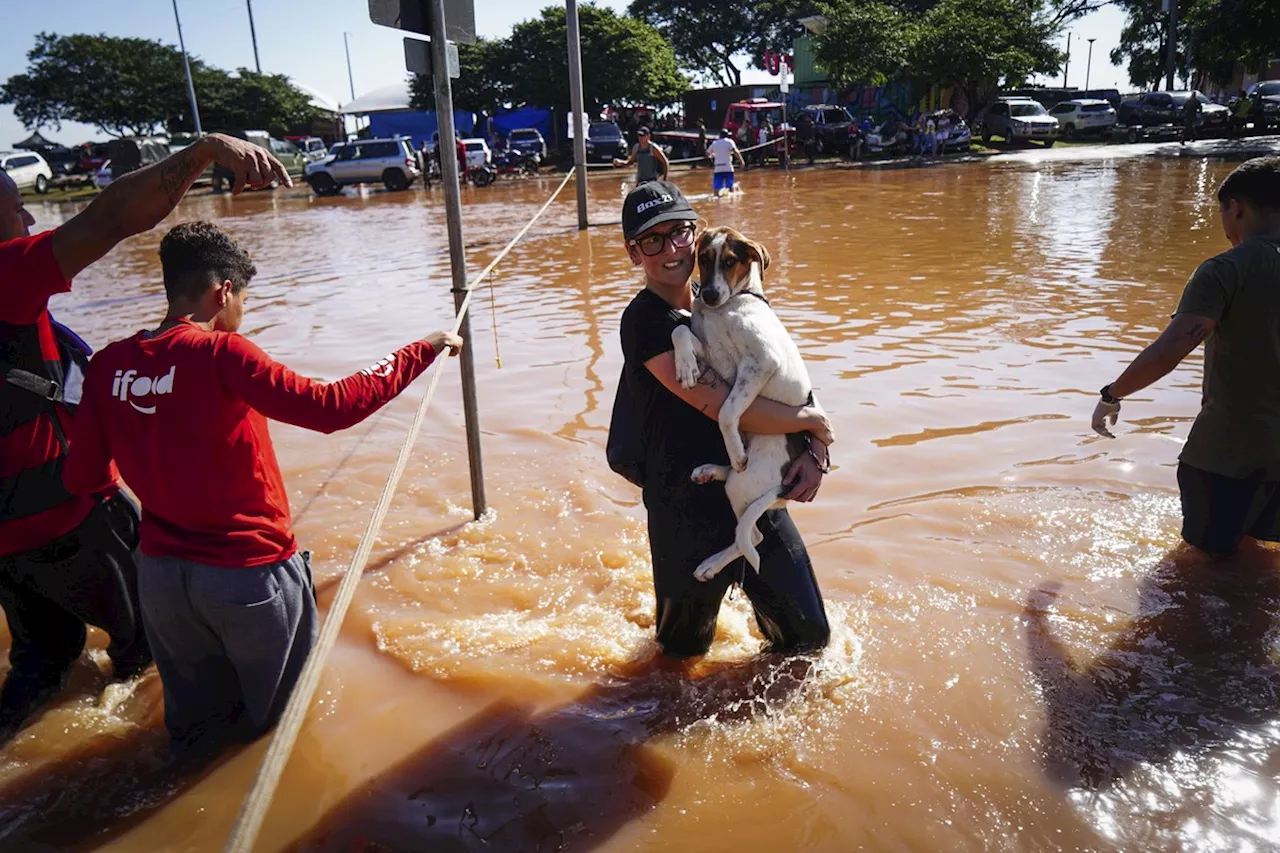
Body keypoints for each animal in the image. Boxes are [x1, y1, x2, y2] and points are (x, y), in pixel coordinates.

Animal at [670, 222, 819, 581]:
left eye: (731, 261)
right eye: (704, 258)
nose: (709, 295)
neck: (728, 307)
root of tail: (783, 488)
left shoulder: (760, 363)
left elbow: (727, 412)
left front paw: (736, 452)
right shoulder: (711, 352)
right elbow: (679, 332)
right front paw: (685, 366)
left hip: (744, 484)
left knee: (752, 536)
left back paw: (711, 563)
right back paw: (711, 470)